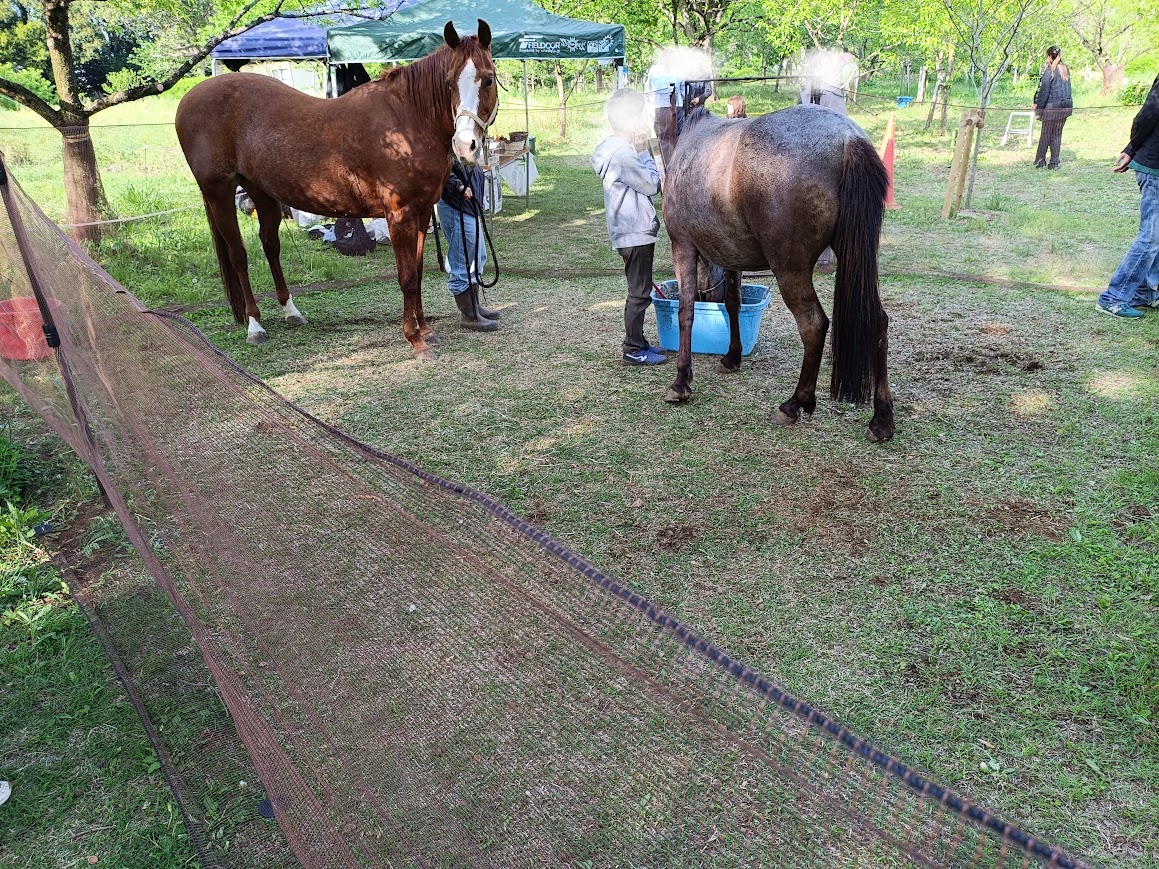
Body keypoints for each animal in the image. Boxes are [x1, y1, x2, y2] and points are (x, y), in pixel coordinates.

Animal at [175, 20, 497, 361]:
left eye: (488, 79)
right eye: (449, 83)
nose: (465, 146)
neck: (407, 121)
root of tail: (189, 98)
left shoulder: (422, 213)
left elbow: (418, 272)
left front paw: (426, 331)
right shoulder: (399, 216)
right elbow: (408, 278)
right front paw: (415, 340)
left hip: (262, 193)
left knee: (270, 246)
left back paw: (291, 312)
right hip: (219, 193)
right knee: (239, 255)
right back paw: (255, 326)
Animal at [658, 105, 894, 442]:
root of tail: (848, 138)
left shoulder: (683, 245)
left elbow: (686, 311)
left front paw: (681, 382)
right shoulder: (733, 256)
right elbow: (732, 304)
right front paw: (732, 356)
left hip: (790, 270)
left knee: (814, 325)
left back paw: (795, 403)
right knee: (878, 321)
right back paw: (882, 418)